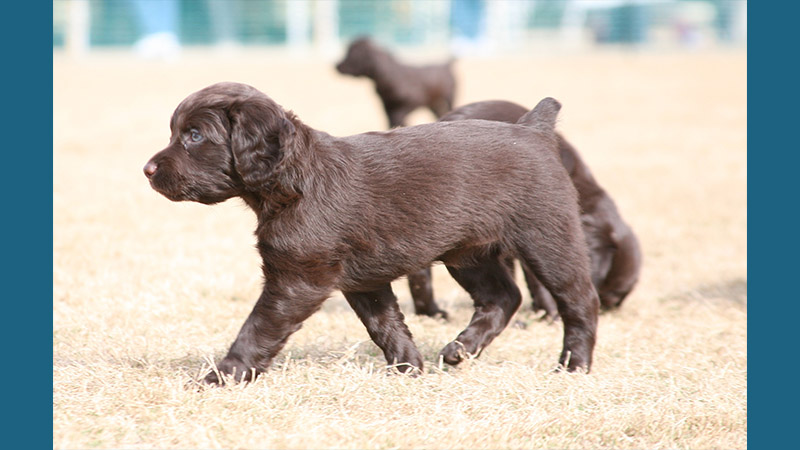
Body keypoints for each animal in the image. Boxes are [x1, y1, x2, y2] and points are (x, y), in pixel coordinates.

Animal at [142, 81, 600, 384]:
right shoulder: (363, 280)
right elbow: (385, 325)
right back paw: (460, 349)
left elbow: (257, 328)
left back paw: (573, 366)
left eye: (194, 135)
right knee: (503, 297)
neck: (296, 178)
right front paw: (408, 368)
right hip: (468, 252)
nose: (147, 169)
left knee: (579, 301)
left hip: (549, 238)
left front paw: (223, 376)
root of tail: (533, 128)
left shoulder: (298, 278)